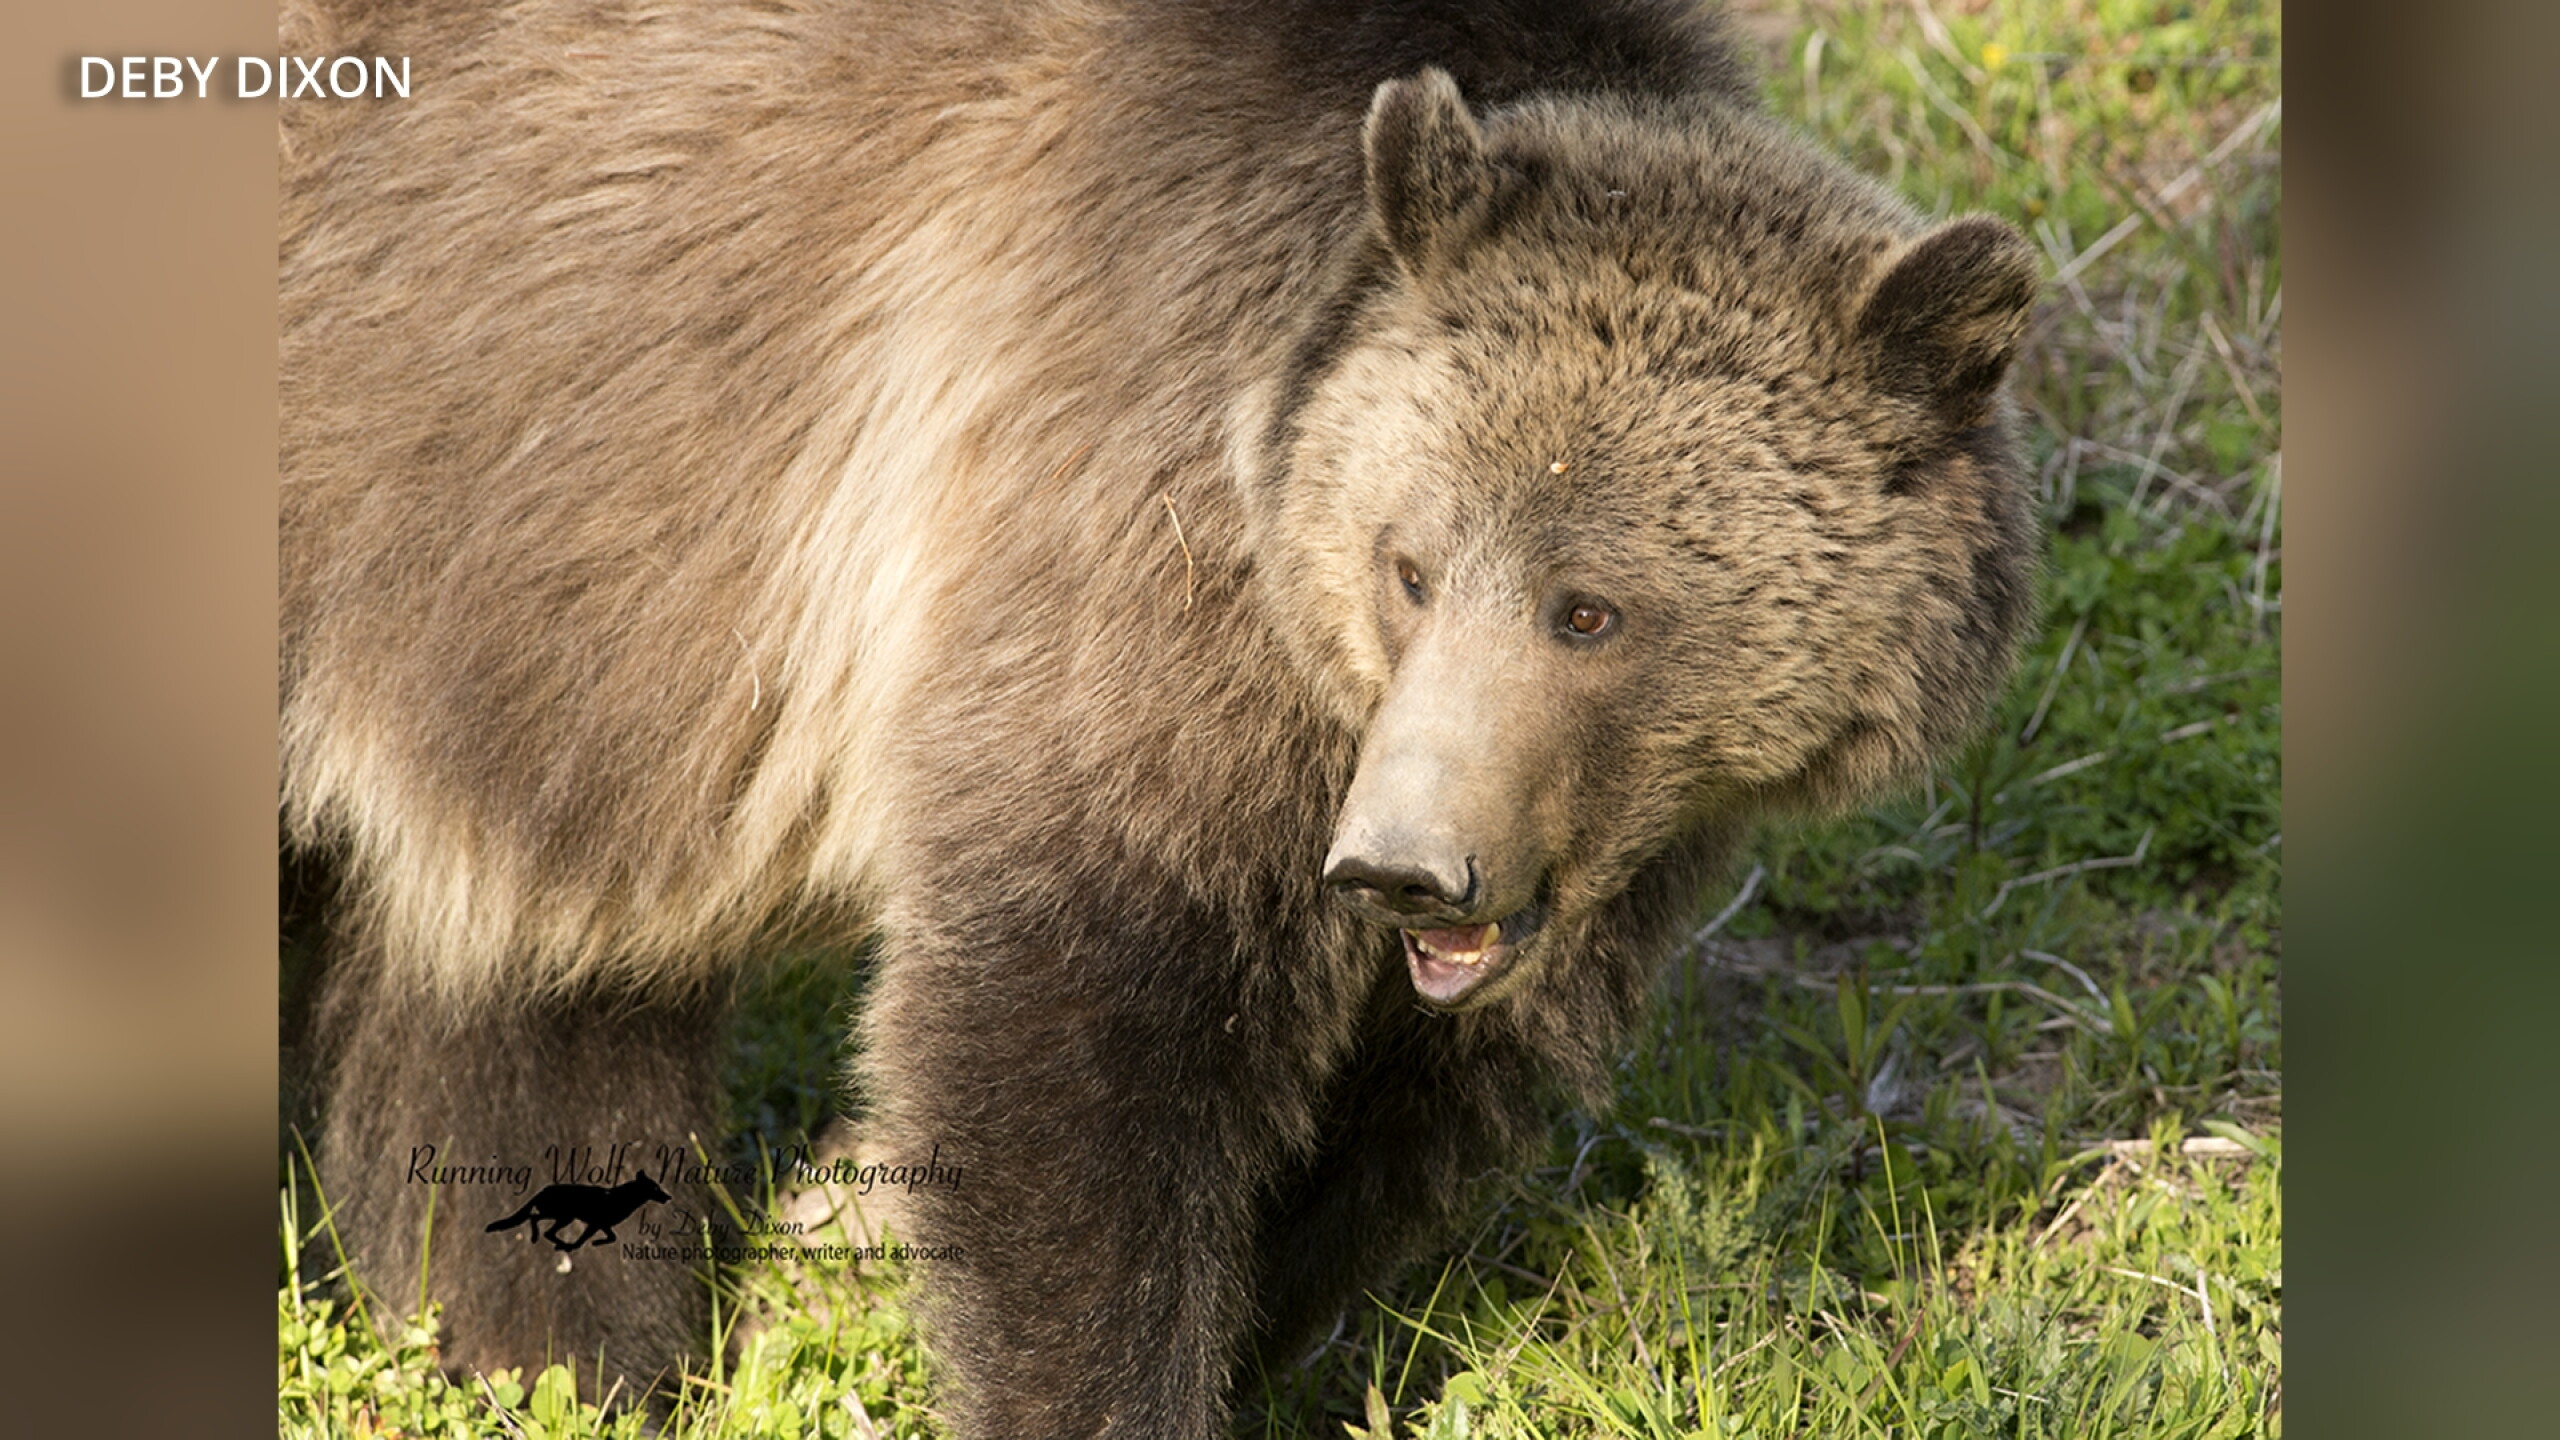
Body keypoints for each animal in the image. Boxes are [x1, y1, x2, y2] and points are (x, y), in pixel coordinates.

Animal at [279, 0, 2041, 1434]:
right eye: (1410, 566)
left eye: (1588, 608)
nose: (1409, 867)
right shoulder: (1131, 552)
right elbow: (1083, 1046)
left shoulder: (1595, 845)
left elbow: (1383, 1111)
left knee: (512, 991)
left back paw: (536, 1350)